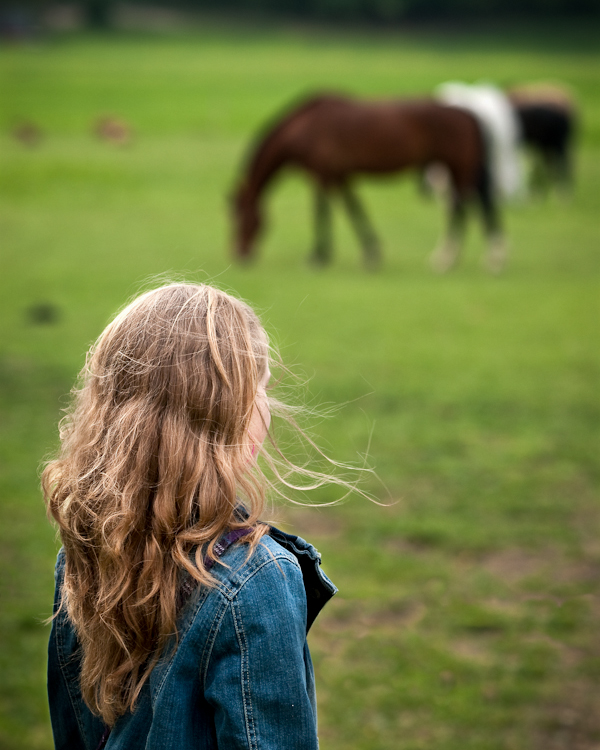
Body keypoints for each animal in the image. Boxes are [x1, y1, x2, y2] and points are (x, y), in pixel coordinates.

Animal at [232, 94, 504, 274]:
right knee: (477, 205)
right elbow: (354, 209)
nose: (239, 253)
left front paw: (318, 256)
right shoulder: (340, 176)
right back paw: (487, 257)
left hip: (457, 168)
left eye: (242, 219)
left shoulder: (322, 176)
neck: (305, 126)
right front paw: (371, 252)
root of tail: (469, 115)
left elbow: (322, 212)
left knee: (464, 207)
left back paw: (449, 259)